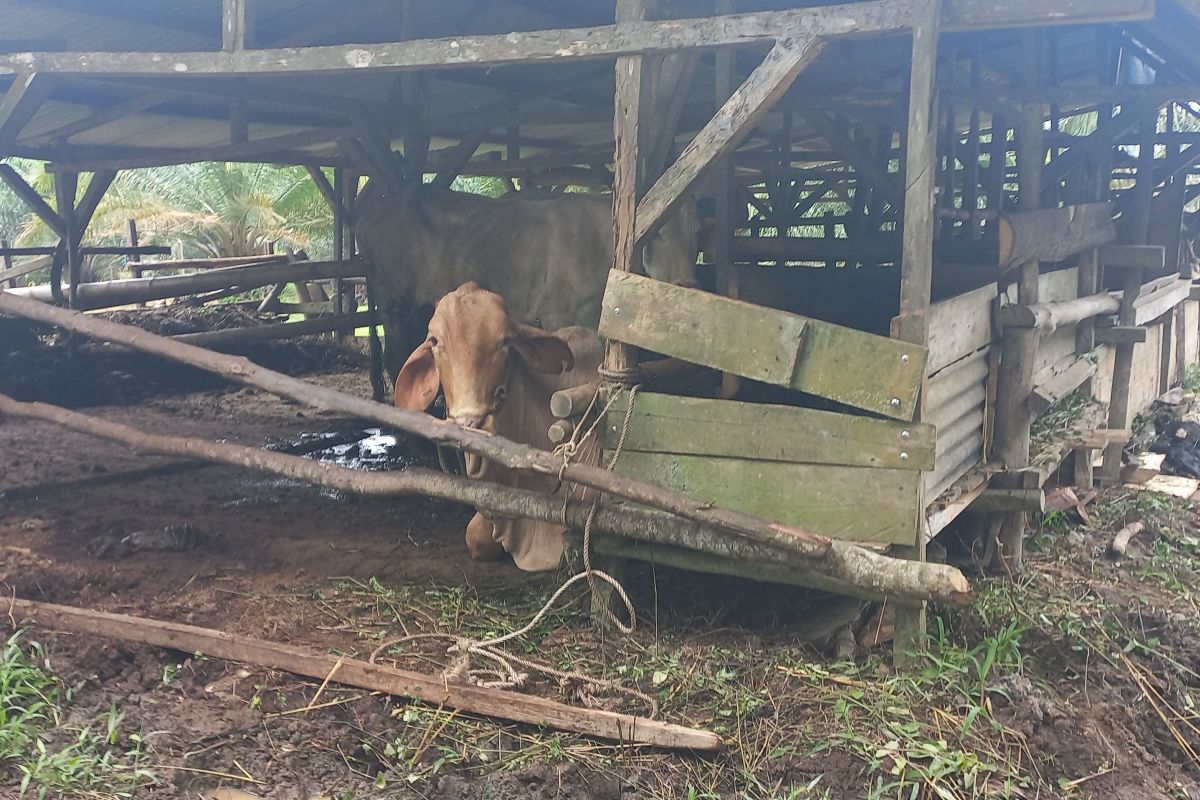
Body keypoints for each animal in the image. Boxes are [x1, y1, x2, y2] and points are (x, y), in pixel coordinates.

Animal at [350, 182, 700, 381]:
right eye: (658, 231)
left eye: (697, 233)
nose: (687, 283)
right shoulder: (557, 314)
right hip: (395, 304)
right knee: (396, 360)